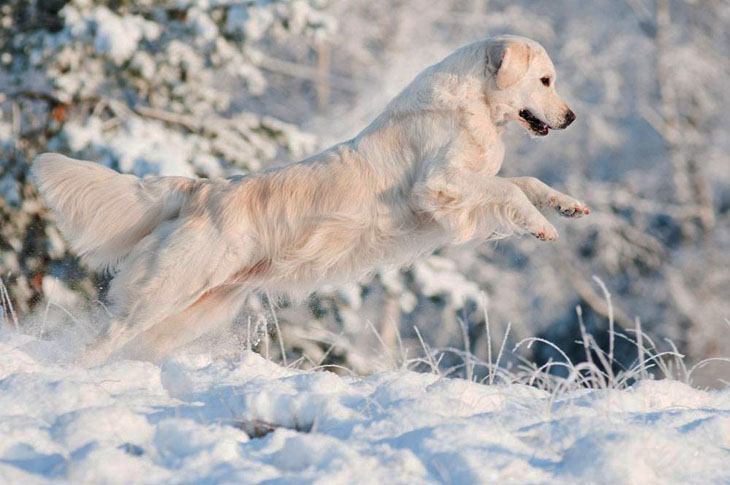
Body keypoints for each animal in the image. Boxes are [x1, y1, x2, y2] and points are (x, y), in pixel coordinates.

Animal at [32, 35, 584, 364]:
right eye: (545, 80)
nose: (572, 117)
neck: (474, 105)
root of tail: (200, 189)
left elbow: (525, 182)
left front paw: (566, 205)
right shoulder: (439, 184)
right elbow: (506, 187)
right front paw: (541, 225)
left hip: (197, 308)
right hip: (165, 291)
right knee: (105, 336)